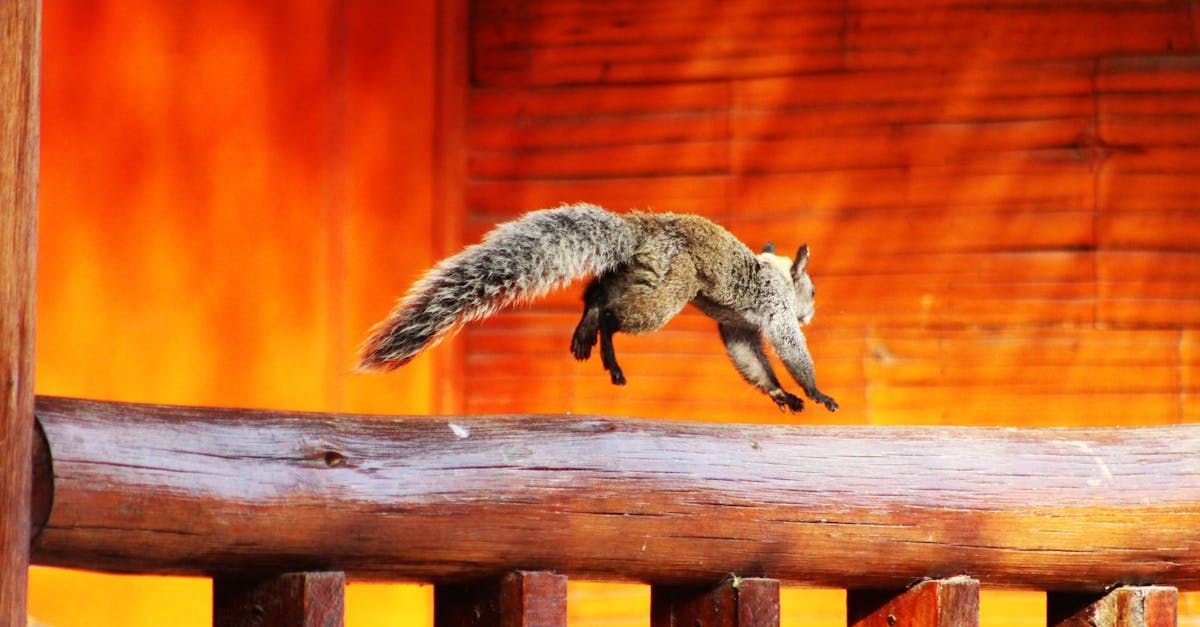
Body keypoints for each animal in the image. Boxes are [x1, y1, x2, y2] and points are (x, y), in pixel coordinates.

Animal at [359, 203, 838, 414]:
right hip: (670, 287)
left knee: (596, 296)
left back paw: (589, 336)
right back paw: (605, 345)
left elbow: (751, 360)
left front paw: (780, 394)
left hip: (638, 274)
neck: (775, 272)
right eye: (813, 292)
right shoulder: (775, 310)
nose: (813, 313)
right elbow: (790, 349)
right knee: (612, 313)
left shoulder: (738, 329)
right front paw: (816, 392)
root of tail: (638, 232)